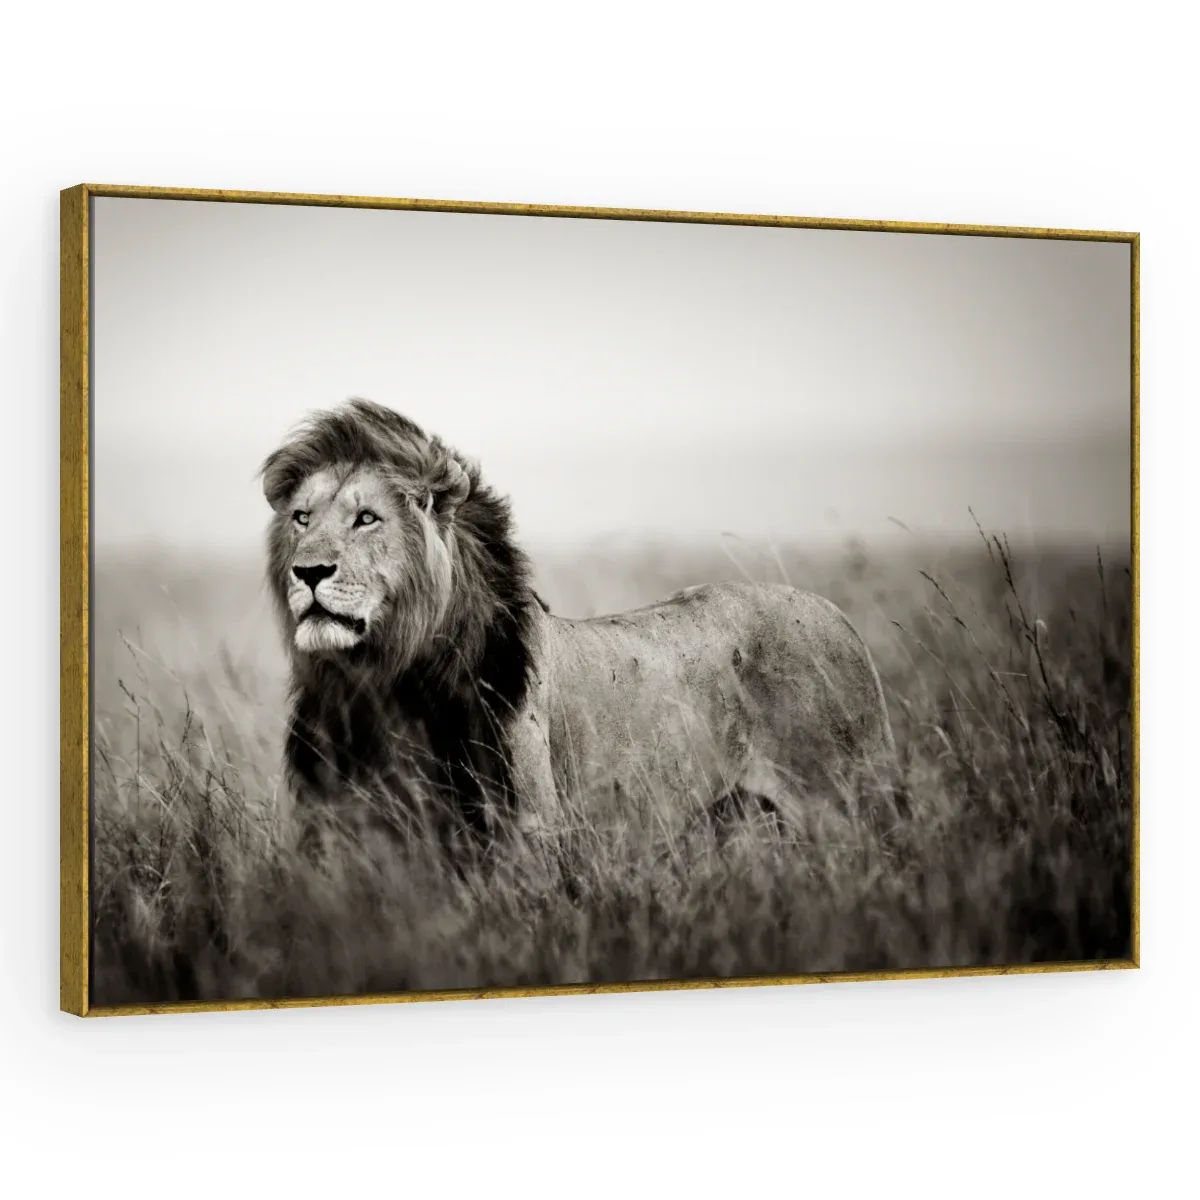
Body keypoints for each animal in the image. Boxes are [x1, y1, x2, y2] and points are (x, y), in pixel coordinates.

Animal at [261, 399, 900, 852]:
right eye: (302, 518)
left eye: (367, 519)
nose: (308, 571)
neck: (381, 683)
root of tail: (838, 616)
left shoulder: (526, 833)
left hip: (848, 804)